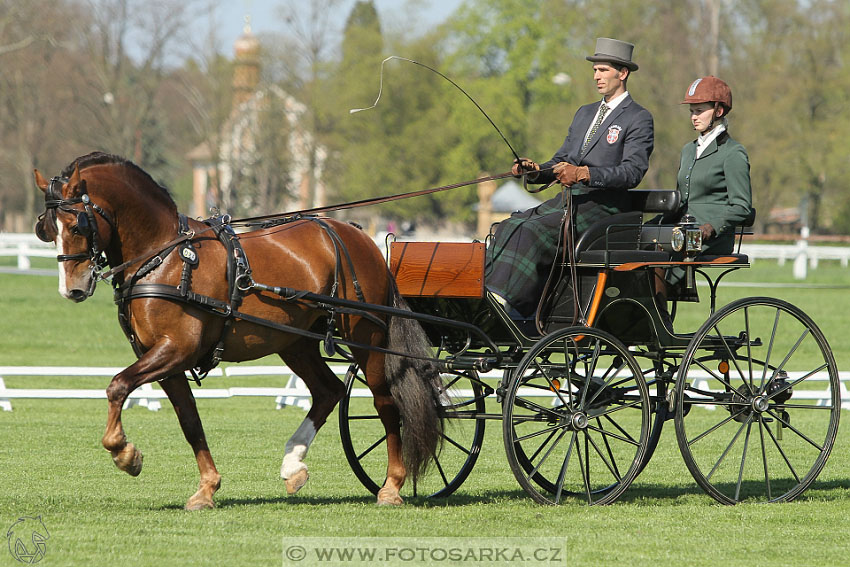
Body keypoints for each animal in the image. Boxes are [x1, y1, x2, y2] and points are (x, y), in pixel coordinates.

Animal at [33, 152, 444, 510]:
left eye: (77, 224)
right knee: (328, 391)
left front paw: (124, 453)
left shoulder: (176, 349)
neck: (163, 255)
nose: (72, 289)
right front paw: (206, 488)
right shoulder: (161, 357)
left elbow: (117, 386)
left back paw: (391, 486)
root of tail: (359, 238)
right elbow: (189, 420)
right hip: (295, 342)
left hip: (366, 340)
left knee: (385, 403)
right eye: (47, 229)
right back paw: (293, 464)